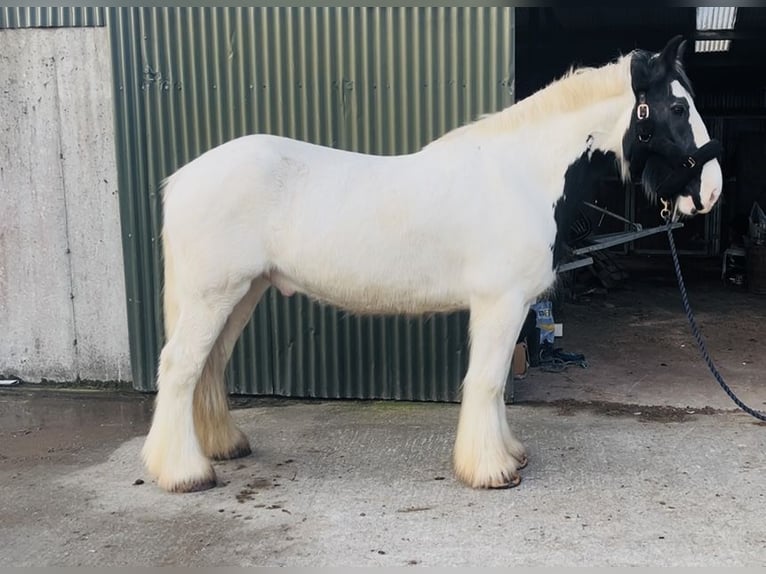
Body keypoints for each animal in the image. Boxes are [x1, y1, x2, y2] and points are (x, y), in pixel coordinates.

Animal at [141, 36, 723, 493]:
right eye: (676, 108)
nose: (712, 192)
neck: (522, 175)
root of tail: (182, 177)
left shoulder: (509, 306)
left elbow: (494, 386)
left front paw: (508, 454)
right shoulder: (500, 303)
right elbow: (486, 382)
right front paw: (491, 471)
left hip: (243, 292)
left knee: (209, 367)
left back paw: (223, 446)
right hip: (214, 294)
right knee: (180, 367)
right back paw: (184, 473)